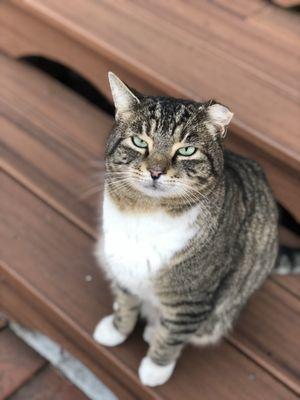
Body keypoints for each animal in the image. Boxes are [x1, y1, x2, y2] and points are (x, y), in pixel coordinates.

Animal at [92, 72, 278, 388]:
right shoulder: (123, 268)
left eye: (186, 150)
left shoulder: (192, 299)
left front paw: (155, 368)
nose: (155, 172)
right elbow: (125, 302)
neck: (145, 212)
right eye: (139, 142)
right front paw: (117, 329)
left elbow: (173, 335)